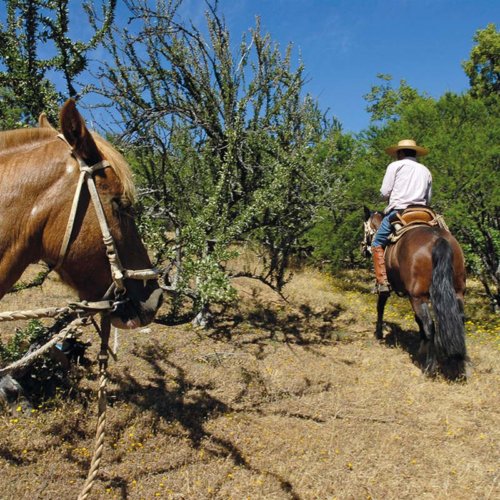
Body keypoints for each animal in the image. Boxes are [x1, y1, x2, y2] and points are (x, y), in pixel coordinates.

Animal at [362, 207, 466, 378]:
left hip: (418, 296)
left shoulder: (391, 289)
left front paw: (378, 333)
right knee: (458, 321)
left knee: (430, 326)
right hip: (457, 292)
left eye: (365, 228)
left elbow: (380, 307)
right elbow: (418, 320)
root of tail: (438, 239)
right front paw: (421, 345)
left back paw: (429, 367)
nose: (363, 249)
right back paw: (459, 365)